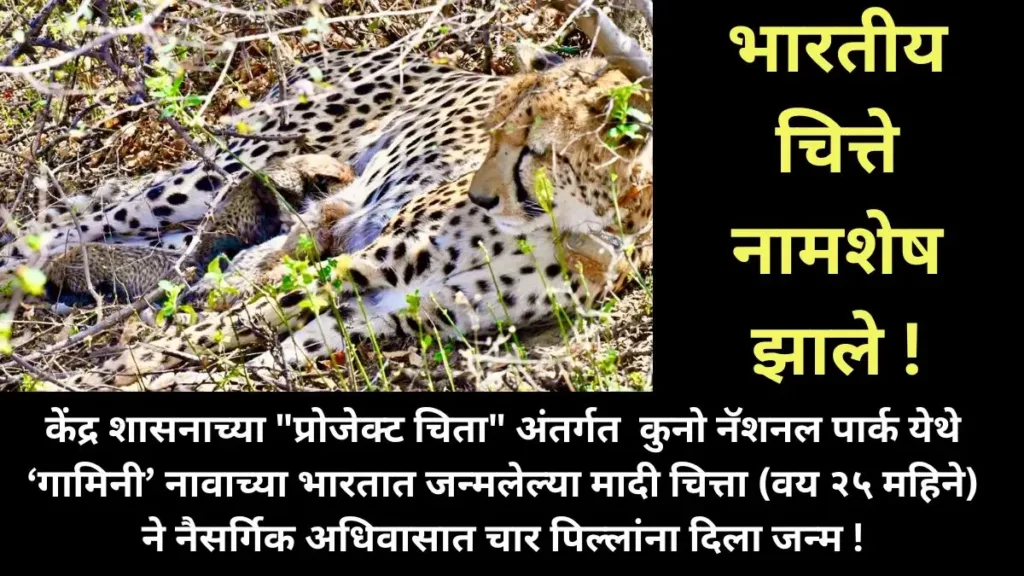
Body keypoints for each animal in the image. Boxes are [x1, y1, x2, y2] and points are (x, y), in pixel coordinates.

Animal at [52, 42, 654, 389]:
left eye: (531, 148)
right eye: (489, 134)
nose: (482, 196)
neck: (574, 227)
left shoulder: (405, 309)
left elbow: (275, 348)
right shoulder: (369, 262)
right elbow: (232, 326)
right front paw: (116, 370)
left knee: (177, 250)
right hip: (230, 165)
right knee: (76, 220)